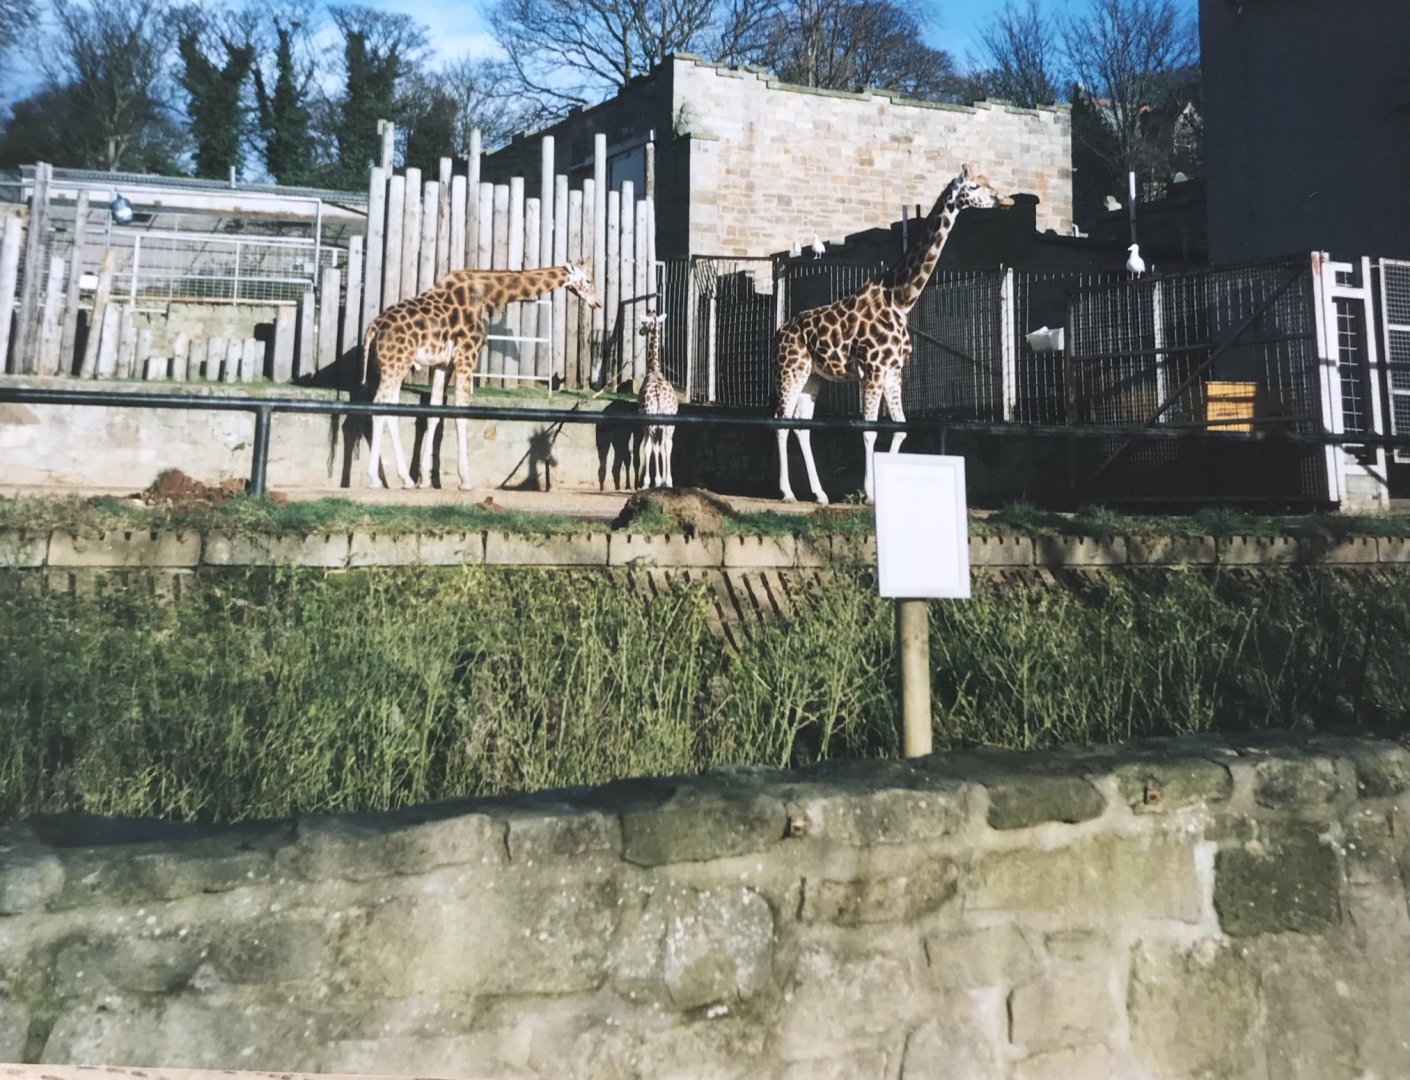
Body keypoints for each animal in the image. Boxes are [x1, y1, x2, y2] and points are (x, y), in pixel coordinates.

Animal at [364, 263, 601, 489]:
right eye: (588, 280)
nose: (598, 303)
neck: (485, 296)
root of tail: (373, 328)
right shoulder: (467, 355)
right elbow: (460, 414)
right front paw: (465, 480)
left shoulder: (443, 364)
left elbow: (434, 414)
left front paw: (425, 480)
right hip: (395, 365)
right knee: (379, 405)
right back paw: (374, 479)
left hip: (395, 367)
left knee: (390, 410)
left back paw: (406, 479)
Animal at [774, 164, 1013, 504]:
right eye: (975, 186)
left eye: (989, 180)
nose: (1004, 200)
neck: (901, 298)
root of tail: (780, 332)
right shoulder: (872, 369)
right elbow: (869, 429)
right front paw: (870, 494)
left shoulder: (893, 370)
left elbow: (900, 427)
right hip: (790, 369)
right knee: (781, 421)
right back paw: (787, 493)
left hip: (814, 376)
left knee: (801, 425)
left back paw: (819, 494)